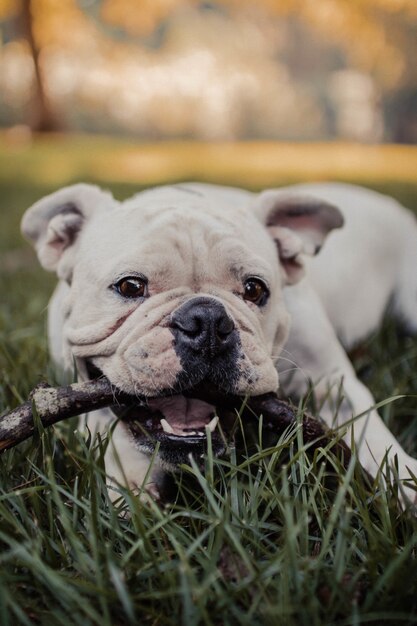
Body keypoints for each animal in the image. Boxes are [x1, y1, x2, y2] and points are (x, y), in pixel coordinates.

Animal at [20, 180, 417, 502]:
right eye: (130, 286)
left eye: (255, 289)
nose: (207, 320)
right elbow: (108, 421)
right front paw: (131, 482)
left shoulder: (331, 381)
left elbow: (369, 430)